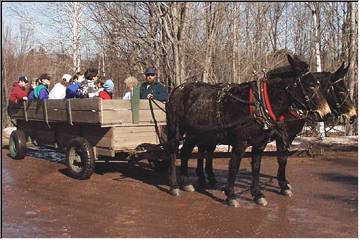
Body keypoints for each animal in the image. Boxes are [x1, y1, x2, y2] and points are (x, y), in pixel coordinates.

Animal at [166, 54, 332, 206]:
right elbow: (234, 166)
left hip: (196, 133)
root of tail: (177, 89)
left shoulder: (260, 144)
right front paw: (231, 195)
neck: (258, 105)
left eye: (318, 85)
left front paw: (257, 193)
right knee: (173, 151)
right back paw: (174, 185)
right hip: (176, 130)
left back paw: (186, 181)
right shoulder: (240, 142)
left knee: (186, 151)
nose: (327, 113)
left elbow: (256, 167)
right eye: (310, 84)